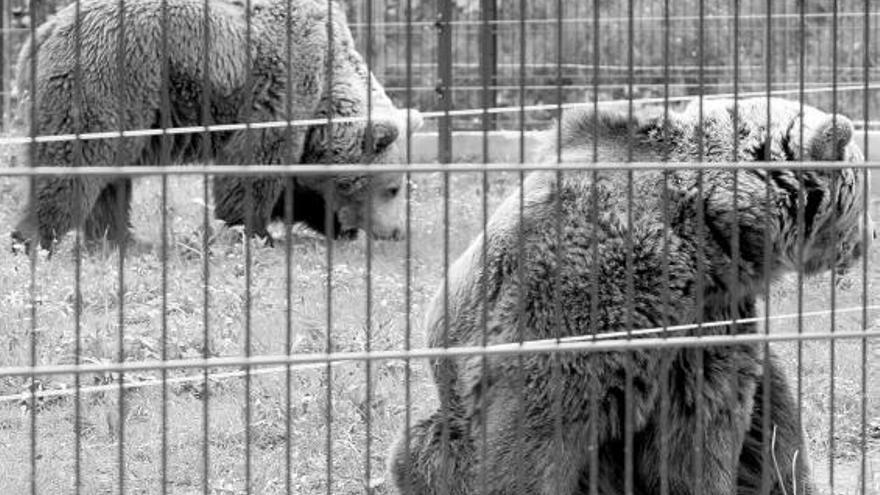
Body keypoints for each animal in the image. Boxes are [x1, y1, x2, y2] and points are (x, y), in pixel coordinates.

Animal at [8, 0, 418, 254]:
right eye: (394, 188)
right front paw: (256, 234)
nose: (396, 233)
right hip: (109, 81)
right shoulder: (279, 90)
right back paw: (33, 239)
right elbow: (255, 166)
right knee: (73, 165)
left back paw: (121, 241)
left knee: (110, 180)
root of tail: (43, 32)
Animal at [390, 98, 872, 495]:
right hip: (452, 414)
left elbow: (704, 420)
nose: (870, 237)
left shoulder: (706, 316)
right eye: (865, 194)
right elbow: (534, 425)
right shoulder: (578, 290)